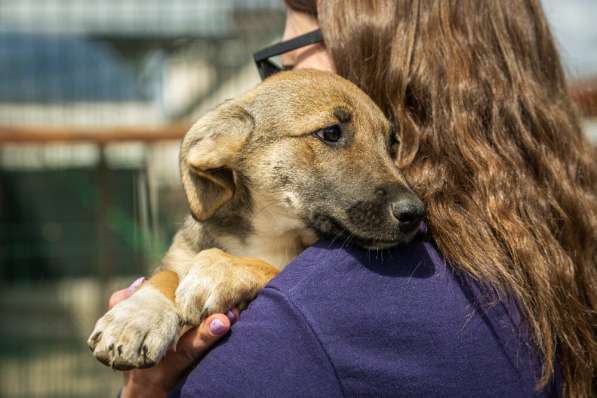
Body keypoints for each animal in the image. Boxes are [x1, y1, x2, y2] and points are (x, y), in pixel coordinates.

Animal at [88, 69, 424, 370]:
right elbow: (166, 275)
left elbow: (264, 266)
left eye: (392, 144)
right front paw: (135, 318)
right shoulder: (180, 254)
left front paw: (219, 270)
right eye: (331, 133)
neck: (269, 232)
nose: (415, 214)